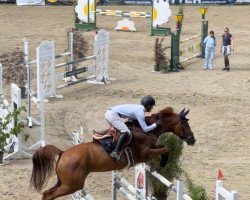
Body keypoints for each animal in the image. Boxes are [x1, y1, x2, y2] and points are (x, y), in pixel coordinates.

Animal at [29, 107, 195, 199]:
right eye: (186, 124)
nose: (193, 140)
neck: (145, 131)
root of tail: (62, 153)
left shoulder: (150, 149)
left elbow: (163, 147)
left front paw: (158, 165)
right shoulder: (145, 154)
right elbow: (166, 148)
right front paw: (161, 164)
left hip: (63, 182)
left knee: (47, 194)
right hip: (72, 185)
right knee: (50, 194)